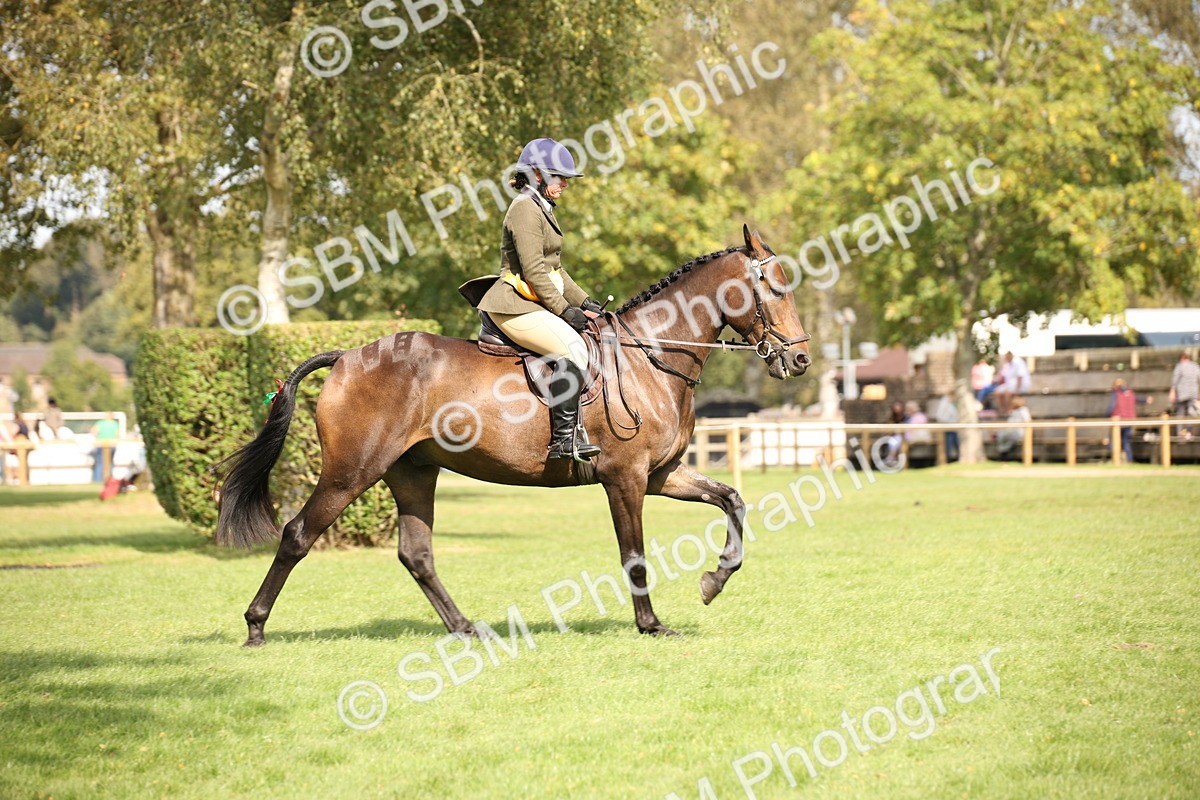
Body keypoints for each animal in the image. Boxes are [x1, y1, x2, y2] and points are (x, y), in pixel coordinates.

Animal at [216, 225, 811, 645]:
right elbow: (634, 553)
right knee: (297, 534)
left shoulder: (661, 473)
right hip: (351, 472)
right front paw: (651, 624)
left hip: (412, 471)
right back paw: (255, 627)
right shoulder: (626, 478)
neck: (651, 355)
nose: (801, 359)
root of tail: (346, 356)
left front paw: (714, 580)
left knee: (417, 554)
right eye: (775, 287)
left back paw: (466, 629)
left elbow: (731, 499)